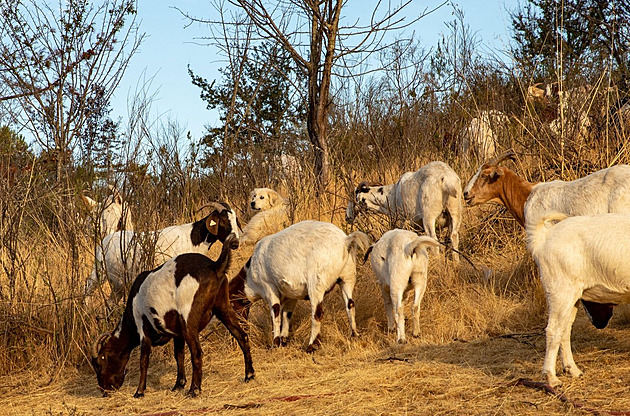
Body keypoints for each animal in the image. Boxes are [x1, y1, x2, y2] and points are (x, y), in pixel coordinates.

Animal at [85, 202, 241, 302]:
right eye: (222, 221)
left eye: (235, 221)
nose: (235, 243)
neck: (192, 238)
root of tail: (105, 241)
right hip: (99, 272)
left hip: (117, 282)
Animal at [91, 234, 254, 396]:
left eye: (100, 363)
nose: (104, 390)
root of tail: (215, 266)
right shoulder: (178, 334)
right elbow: (178, 355)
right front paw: (178, 384)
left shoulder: (144, 330)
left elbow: (144, 361)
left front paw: (139, 391)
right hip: (223, 306)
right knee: (242, 336)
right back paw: (249, 375)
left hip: (188, 318)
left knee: (197, 352)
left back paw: (194, 390)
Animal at [231, 219, 370, 352]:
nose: (240, 325)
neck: (249, 275)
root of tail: (345, 241)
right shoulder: (291, 294)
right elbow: (286, 314)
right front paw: (284, 340)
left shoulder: (269, 287)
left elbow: (276, 313)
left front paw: (275, 344)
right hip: (347, 277)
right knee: (350, 304)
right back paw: (354, 335)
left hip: (317, 284)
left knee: (317, 312)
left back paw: (311, 346)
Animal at [524, 213, 630, 388]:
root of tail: (543, 239)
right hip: (560, 290)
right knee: (553, 330)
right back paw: (551, 378)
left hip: (572, 296)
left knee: (565, 329)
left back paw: (572, 370)